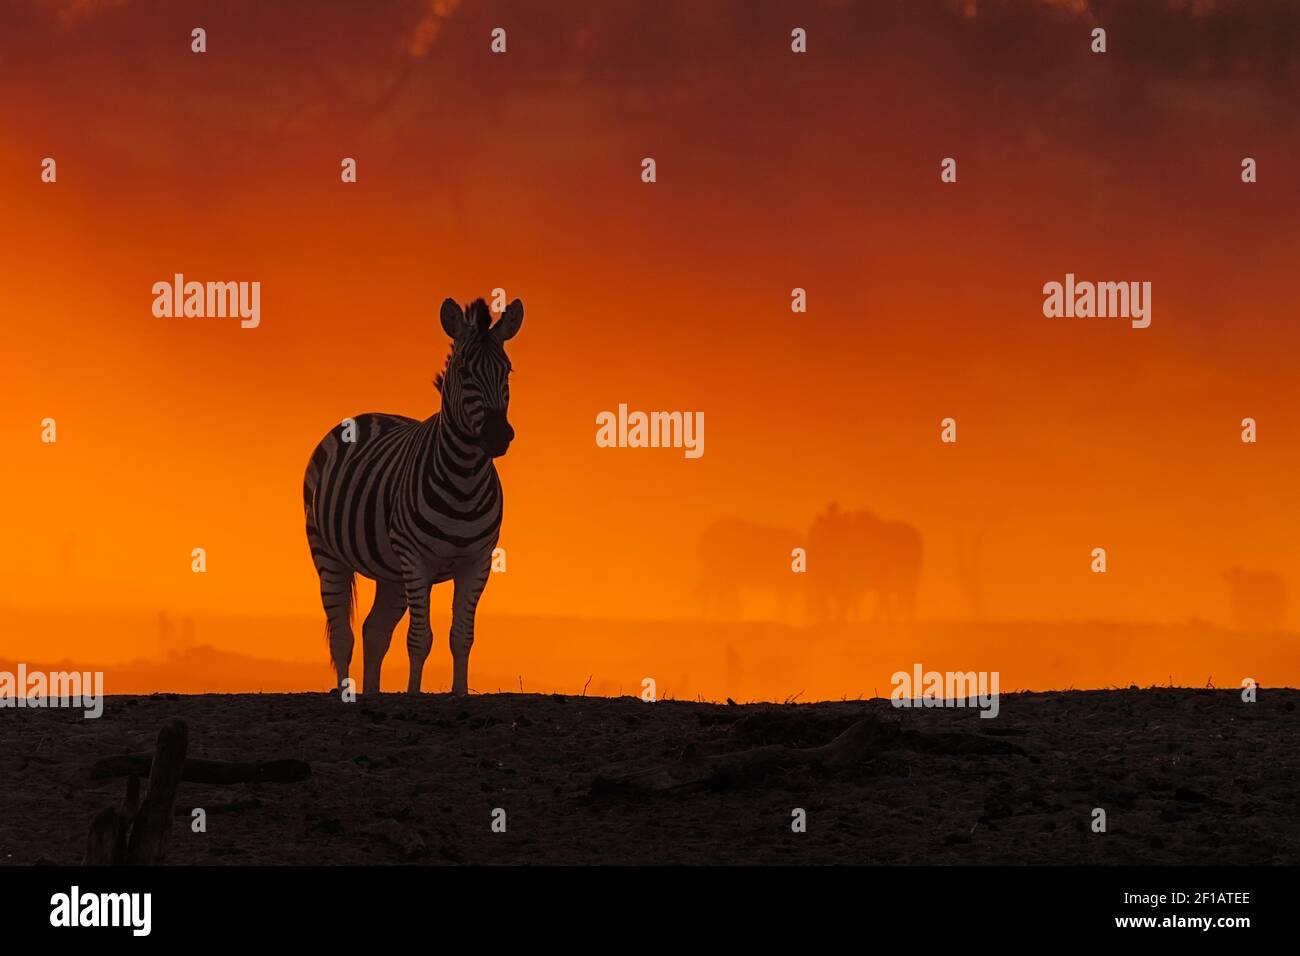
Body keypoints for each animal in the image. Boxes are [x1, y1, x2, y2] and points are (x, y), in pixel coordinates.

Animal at [304, 295, 522, 697]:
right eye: (463, 371)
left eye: (508, 371)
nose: (499, 435)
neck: (464, 479)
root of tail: (367, 414)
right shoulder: (417, 559)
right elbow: (420, 638)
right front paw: (413, 694)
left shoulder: (477, 562)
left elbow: (461, 636)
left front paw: (459, 694)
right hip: (328, 552)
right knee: (342, 634)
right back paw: (346, 694)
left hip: (391, 572)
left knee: (373, 630)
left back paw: (373, 693)